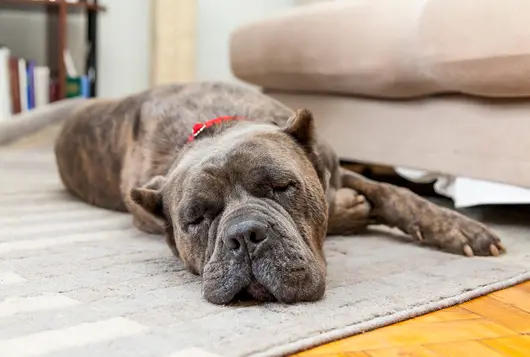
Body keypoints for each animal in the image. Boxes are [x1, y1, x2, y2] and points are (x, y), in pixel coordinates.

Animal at [8, 81, 504, 304]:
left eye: (283, 187)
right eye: (196, 218)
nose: (244, 235)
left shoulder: (337, 169)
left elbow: (396, 193)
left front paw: (459, 227)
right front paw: (350, 211)